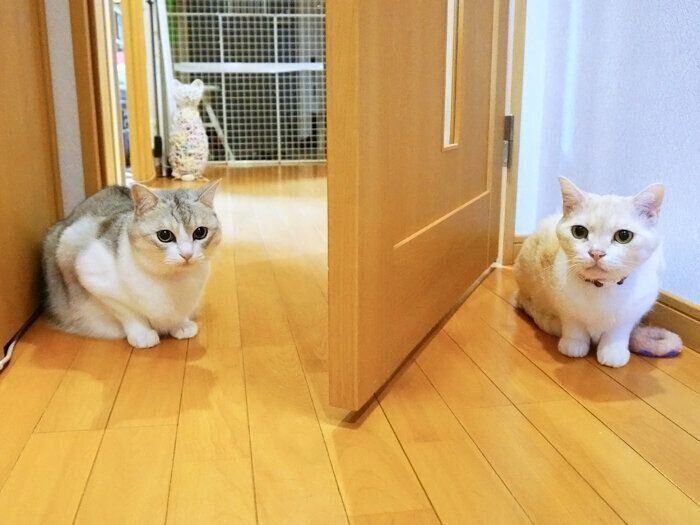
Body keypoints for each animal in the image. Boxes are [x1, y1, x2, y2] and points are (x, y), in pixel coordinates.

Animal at [42, 181, 221, 348]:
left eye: (200, 232)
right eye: (164, 235)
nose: (187, 255)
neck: (173, 279)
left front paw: (180, 325)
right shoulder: (93, 276)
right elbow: (129, 313)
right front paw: (143, 334)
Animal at [515, 178, 665, 367]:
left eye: (624, 236)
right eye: (579, 231)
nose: (596, 253)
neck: (601, 288)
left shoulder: (631, 313)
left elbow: (618, 332)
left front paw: (612, 351)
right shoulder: (566, 306)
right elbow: (574, 327)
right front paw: (574, 344)